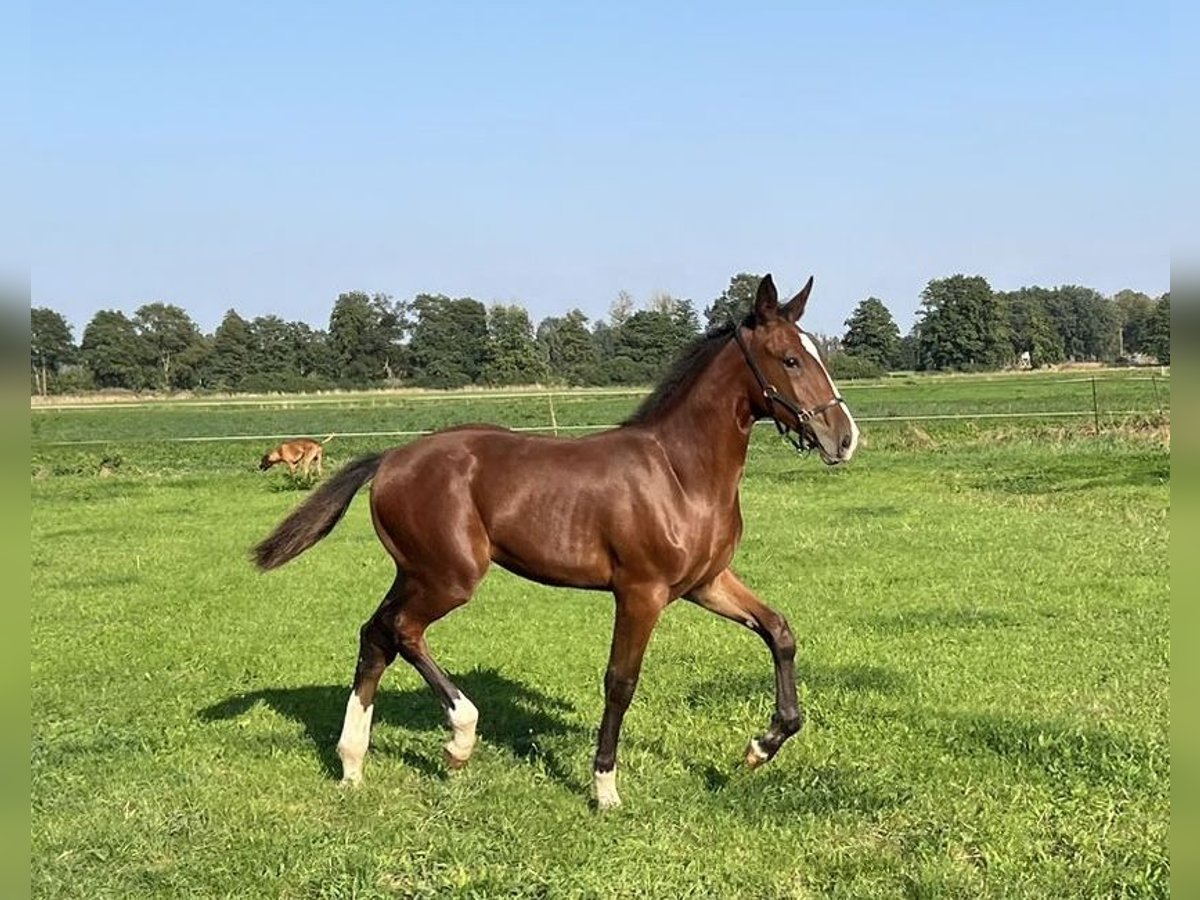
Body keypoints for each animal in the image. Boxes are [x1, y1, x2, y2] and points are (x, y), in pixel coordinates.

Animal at [253, 274, 859, 811]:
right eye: (790, 359)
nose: (844, 438)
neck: (681, 474)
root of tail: (391, 458)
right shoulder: (641, 592)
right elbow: (621, 681)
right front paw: (605, 788)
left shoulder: (706, 583)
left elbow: (779, 631)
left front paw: (761, 747)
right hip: (450, 578)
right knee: (402, 631)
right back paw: (459, 738)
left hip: (417, 572)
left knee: (376, 634)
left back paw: (353, 764)